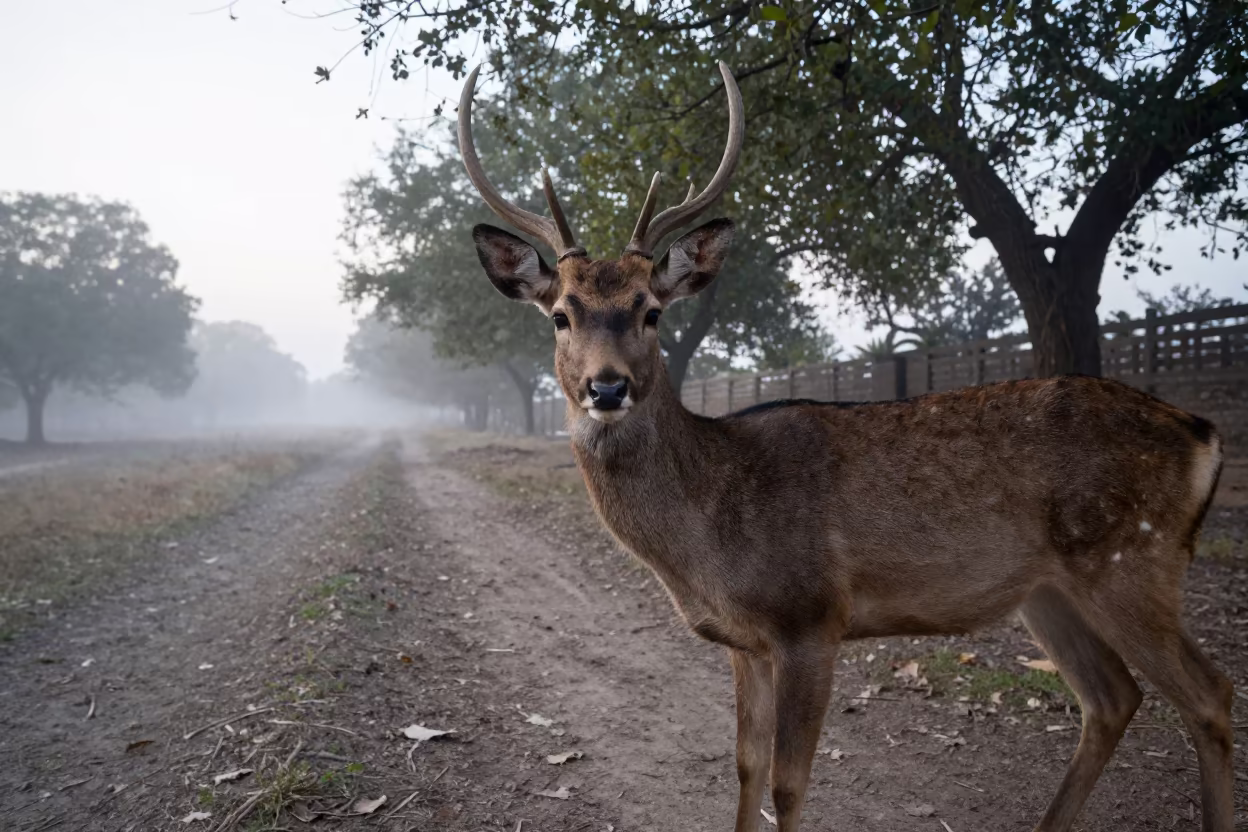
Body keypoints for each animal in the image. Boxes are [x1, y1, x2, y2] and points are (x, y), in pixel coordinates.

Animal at [455, 61, 1234, 832]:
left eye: (650, 311)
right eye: (560, 315)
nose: (608, 386)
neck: (707, 544)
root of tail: (1204, 434)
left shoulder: (810, 618)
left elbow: (787, 784)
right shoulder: (746, 643)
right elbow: (745, 768)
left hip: (1133, 560)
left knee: (1211, 694)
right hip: (1049, 591)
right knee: (1113, 699)